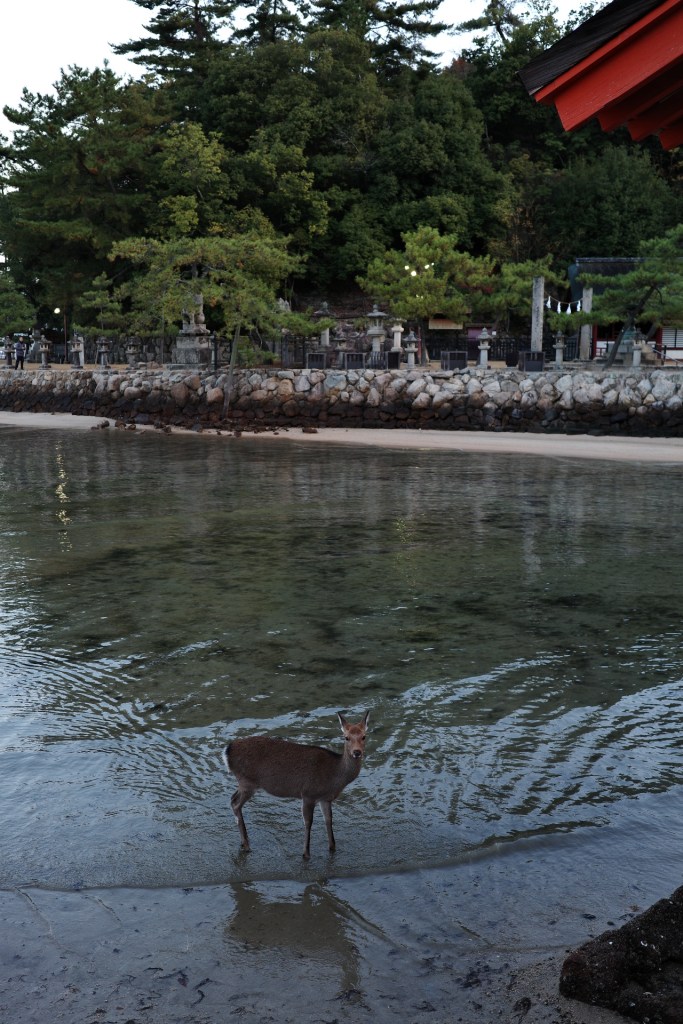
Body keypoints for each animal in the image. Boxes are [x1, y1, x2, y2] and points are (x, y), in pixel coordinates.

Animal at [223, 711, 369, 860]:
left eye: (364, 736)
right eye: (346, 737)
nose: (357, 752)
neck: (335, 776)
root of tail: (227, 751)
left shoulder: (325, 799)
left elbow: (328, 820)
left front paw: (332, 847)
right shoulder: (308, 794)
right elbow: (308, 822)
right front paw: (306, 853)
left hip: (245, 783)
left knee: (233, 799)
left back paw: (243, 843)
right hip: (247, 782)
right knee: (235, 803)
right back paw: (247, 845)